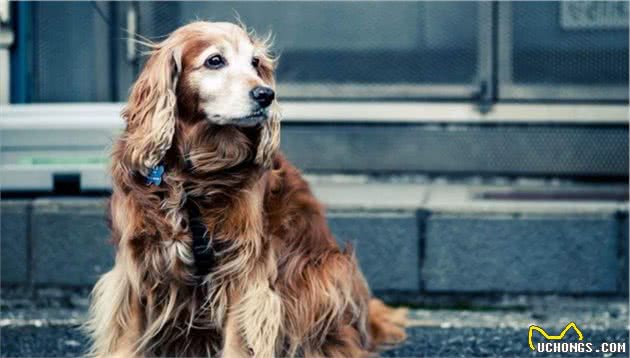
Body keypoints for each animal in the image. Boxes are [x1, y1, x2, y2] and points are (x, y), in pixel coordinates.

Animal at [84, 21, 408, 356]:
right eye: (215, 60)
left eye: (255, 63)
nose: (266, 94)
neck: (193, 176)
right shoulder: (137, 262)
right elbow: (127, 335)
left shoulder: (244, 268)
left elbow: (239, 338)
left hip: (327, 272)